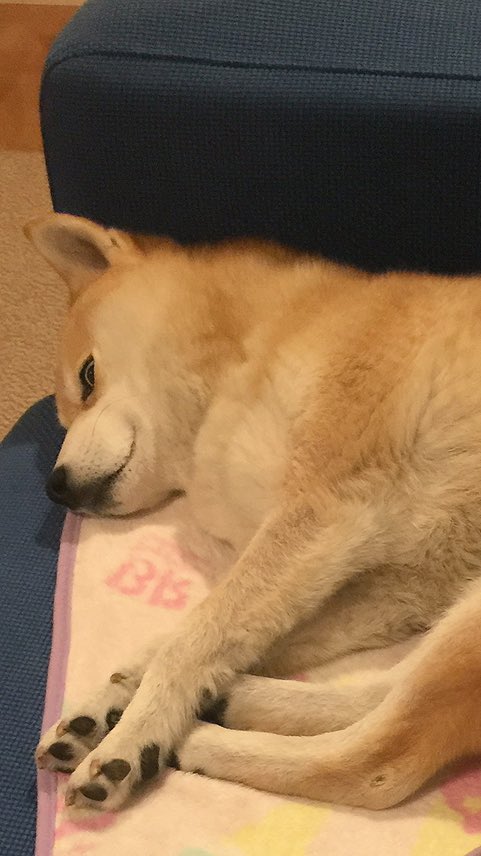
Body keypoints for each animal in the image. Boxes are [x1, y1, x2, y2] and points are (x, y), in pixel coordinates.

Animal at [28, 212, 481, 812]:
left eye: (86, 377)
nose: (55, 488)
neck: (254, 344)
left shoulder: (317, 514)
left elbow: (191, 642)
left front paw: (134, 732)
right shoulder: (396, 587)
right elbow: (196, 638)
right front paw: (110, 699)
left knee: (375, 762)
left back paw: (194, 744)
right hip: (457, 616)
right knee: (379, 696)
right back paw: (232, 701)